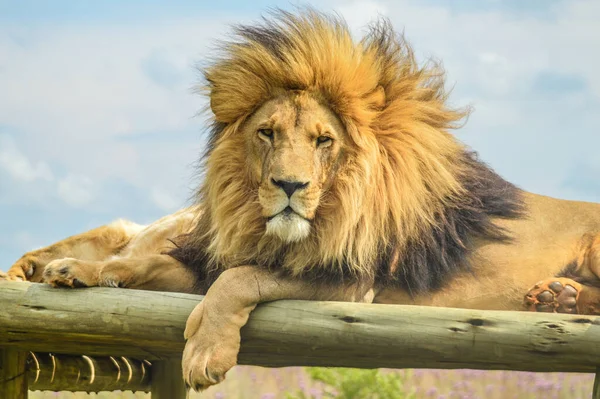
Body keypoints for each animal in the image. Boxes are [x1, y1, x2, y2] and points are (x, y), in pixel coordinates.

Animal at [3, 8, 600, 390]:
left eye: (323, 140)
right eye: (267, 133)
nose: (290, 186)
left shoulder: (350, 286)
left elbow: (238, 279)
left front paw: (205, 352)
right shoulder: (197, 262)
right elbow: (149, 265)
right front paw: (77, 272)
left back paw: (562, 298)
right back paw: (557, 297)